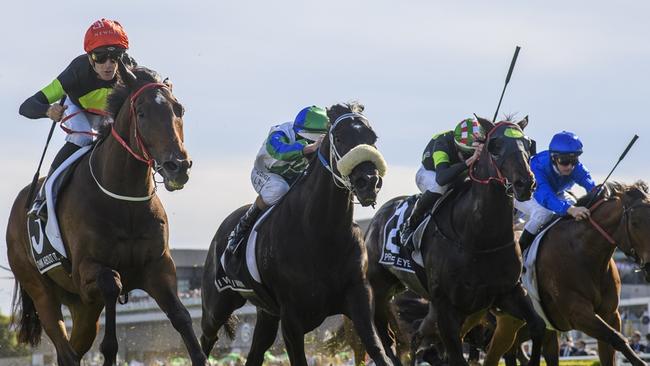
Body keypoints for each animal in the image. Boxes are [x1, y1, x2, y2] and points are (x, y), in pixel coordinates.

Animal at [6, 63, 205, 366]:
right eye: (142, 112)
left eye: (178, 109)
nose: (178, 166)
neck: (124, 200)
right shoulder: (87, 271)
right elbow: (113, 285)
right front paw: (110, 350)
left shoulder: (158, 267)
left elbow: (181, 317)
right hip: (40, 289)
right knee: (64, 346)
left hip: (81, 305)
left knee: (72, 350)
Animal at [199, 102, 390, 366]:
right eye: (340, 138)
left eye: (373, 138)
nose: (369, 181)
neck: (321, 234)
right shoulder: (292, 319)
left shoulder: (359, 299)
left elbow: (378, 350)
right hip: (217, 305)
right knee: (205, 339)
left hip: (267, 314)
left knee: (255, 352)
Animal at [364, 118, 548, 366]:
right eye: (495, 146)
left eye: (528, 144)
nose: (525, 183)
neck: (479, 239)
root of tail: (376, 218)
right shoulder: (446, 306)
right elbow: (455, 354)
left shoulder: (508, 292)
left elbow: (538, 327)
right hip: (380, 289)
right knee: (388, 338)